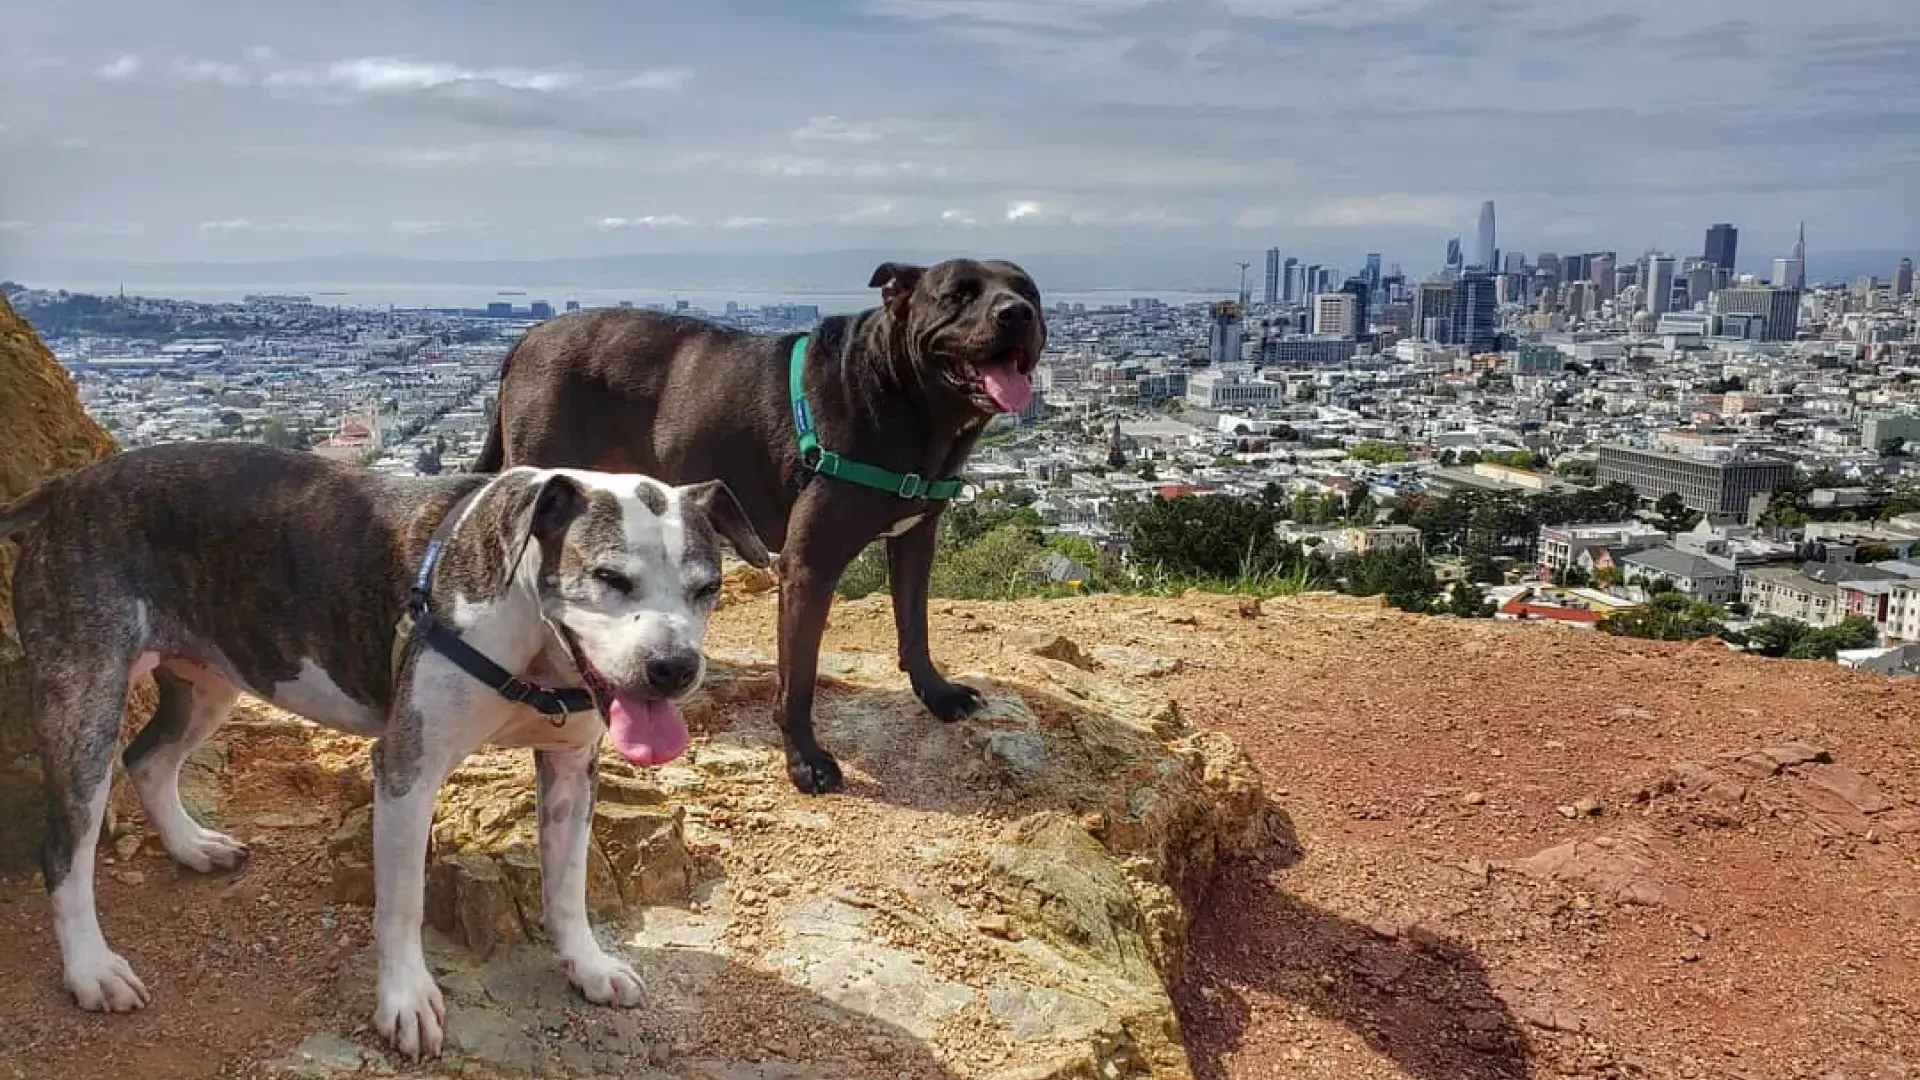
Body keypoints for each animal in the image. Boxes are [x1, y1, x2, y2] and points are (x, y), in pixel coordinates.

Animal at [1, 438, 764, 1053]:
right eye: (610, 578)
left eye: (707, 588)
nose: (674, 667)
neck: (533, 631)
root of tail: (65, 489)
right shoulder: (407, 771)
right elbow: (402, 904)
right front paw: (405, 1001)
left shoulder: (573, 771)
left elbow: (569, 883)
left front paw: (588, 964)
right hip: (84, 700)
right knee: (65, 846)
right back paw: (92, 970)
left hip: (213, 677)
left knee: (150, 758)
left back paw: (192, 848)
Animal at [478, 255, 1052, 787]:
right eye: (958, 294)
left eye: (1028, 291)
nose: (1017, 313)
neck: (902, 395)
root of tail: (528, 337)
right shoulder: (808, 567)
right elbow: (799, 676)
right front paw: (805, 760)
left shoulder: (915, 540)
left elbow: (915, 627)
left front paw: (936, 694)